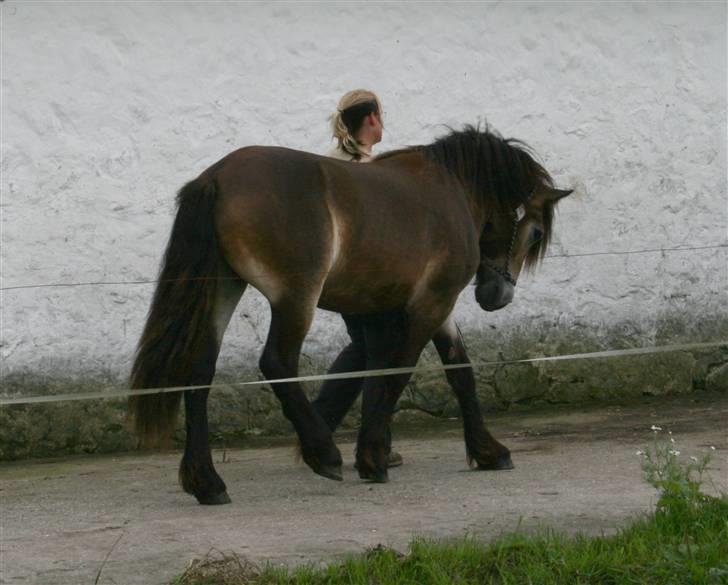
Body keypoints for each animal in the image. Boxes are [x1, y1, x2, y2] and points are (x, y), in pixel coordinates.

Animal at [129, 123, 576, 502]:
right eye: (535, 232)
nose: (497, 295)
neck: (452, 191)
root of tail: (218, 178)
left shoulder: (427, 307)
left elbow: (456, 373)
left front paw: (487, 450)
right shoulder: (431, 302)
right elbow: (399, 372)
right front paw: (373, 457)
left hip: (223, 287)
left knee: (199, 373)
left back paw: (206, 481)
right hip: (297, 296)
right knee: (277, 362)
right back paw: (322, 452)